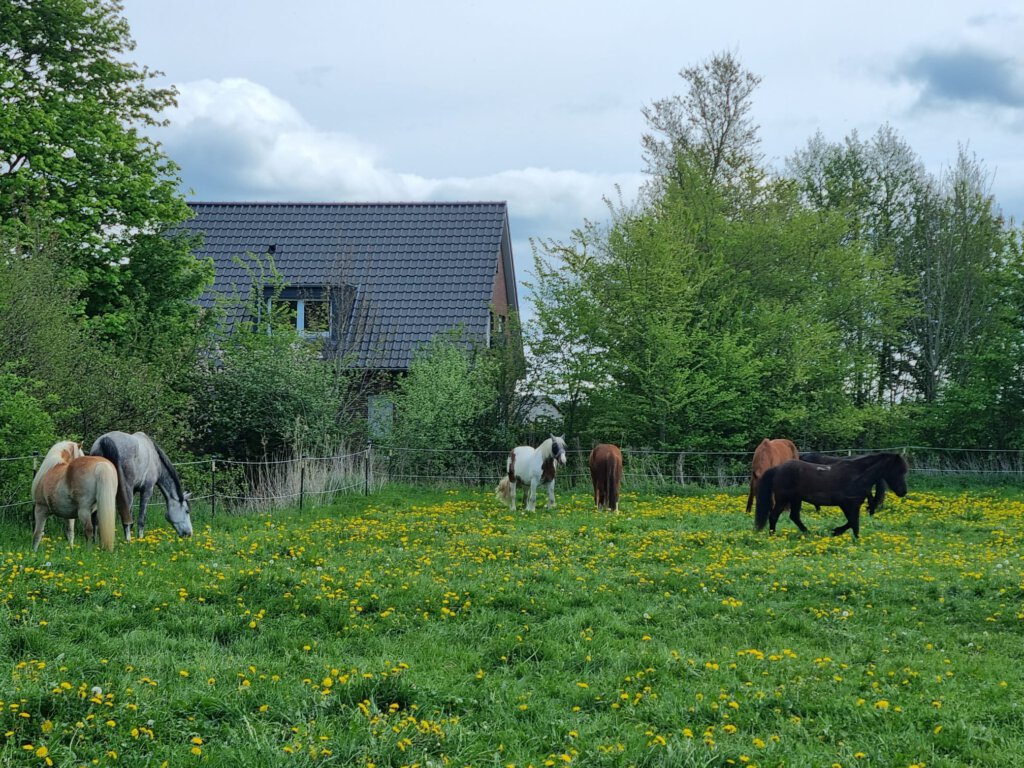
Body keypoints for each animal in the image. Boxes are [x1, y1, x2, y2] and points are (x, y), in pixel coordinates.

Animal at [754, 453, 908, 539]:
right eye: (899, 471)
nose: (903, 492)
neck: (857, 476)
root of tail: (777, 469)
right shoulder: (848, 504)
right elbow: (854, 522)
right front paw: (843, 534)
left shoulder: (852, 505)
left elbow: (853, 522)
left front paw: (839, 532)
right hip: (783, 499)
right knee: (774, 516)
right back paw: (773, 535)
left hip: (796, 499)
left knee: (794, 517)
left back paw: (809, 533)